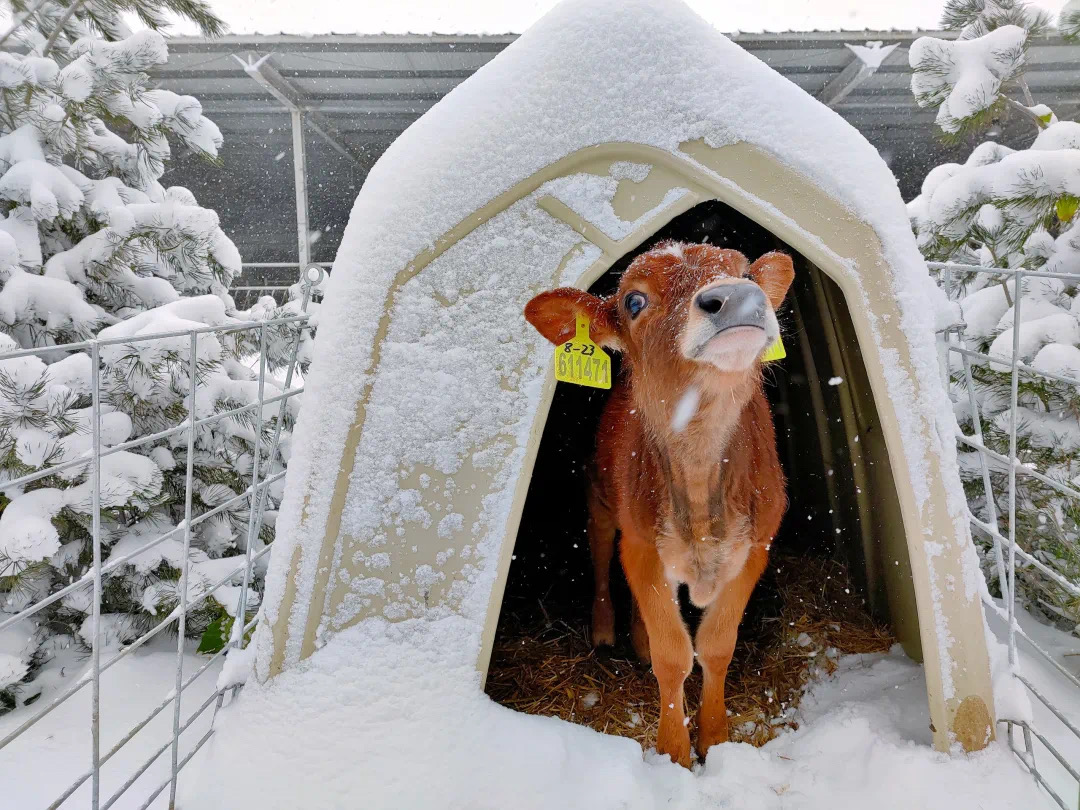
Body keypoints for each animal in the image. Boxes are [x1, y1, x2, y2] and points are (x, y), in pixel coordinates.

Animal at [522, 239, 794, 768]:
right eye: (634, 300)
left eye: (746, 273)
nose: (737, 296)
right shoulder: (644, 544)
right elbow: (674, 654)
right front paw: (674, 752)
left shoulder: (756, 547)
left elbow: (716, 646)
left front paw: (715, 738)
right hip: (601, 498)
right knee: (601, 554)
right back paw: (606, 630)